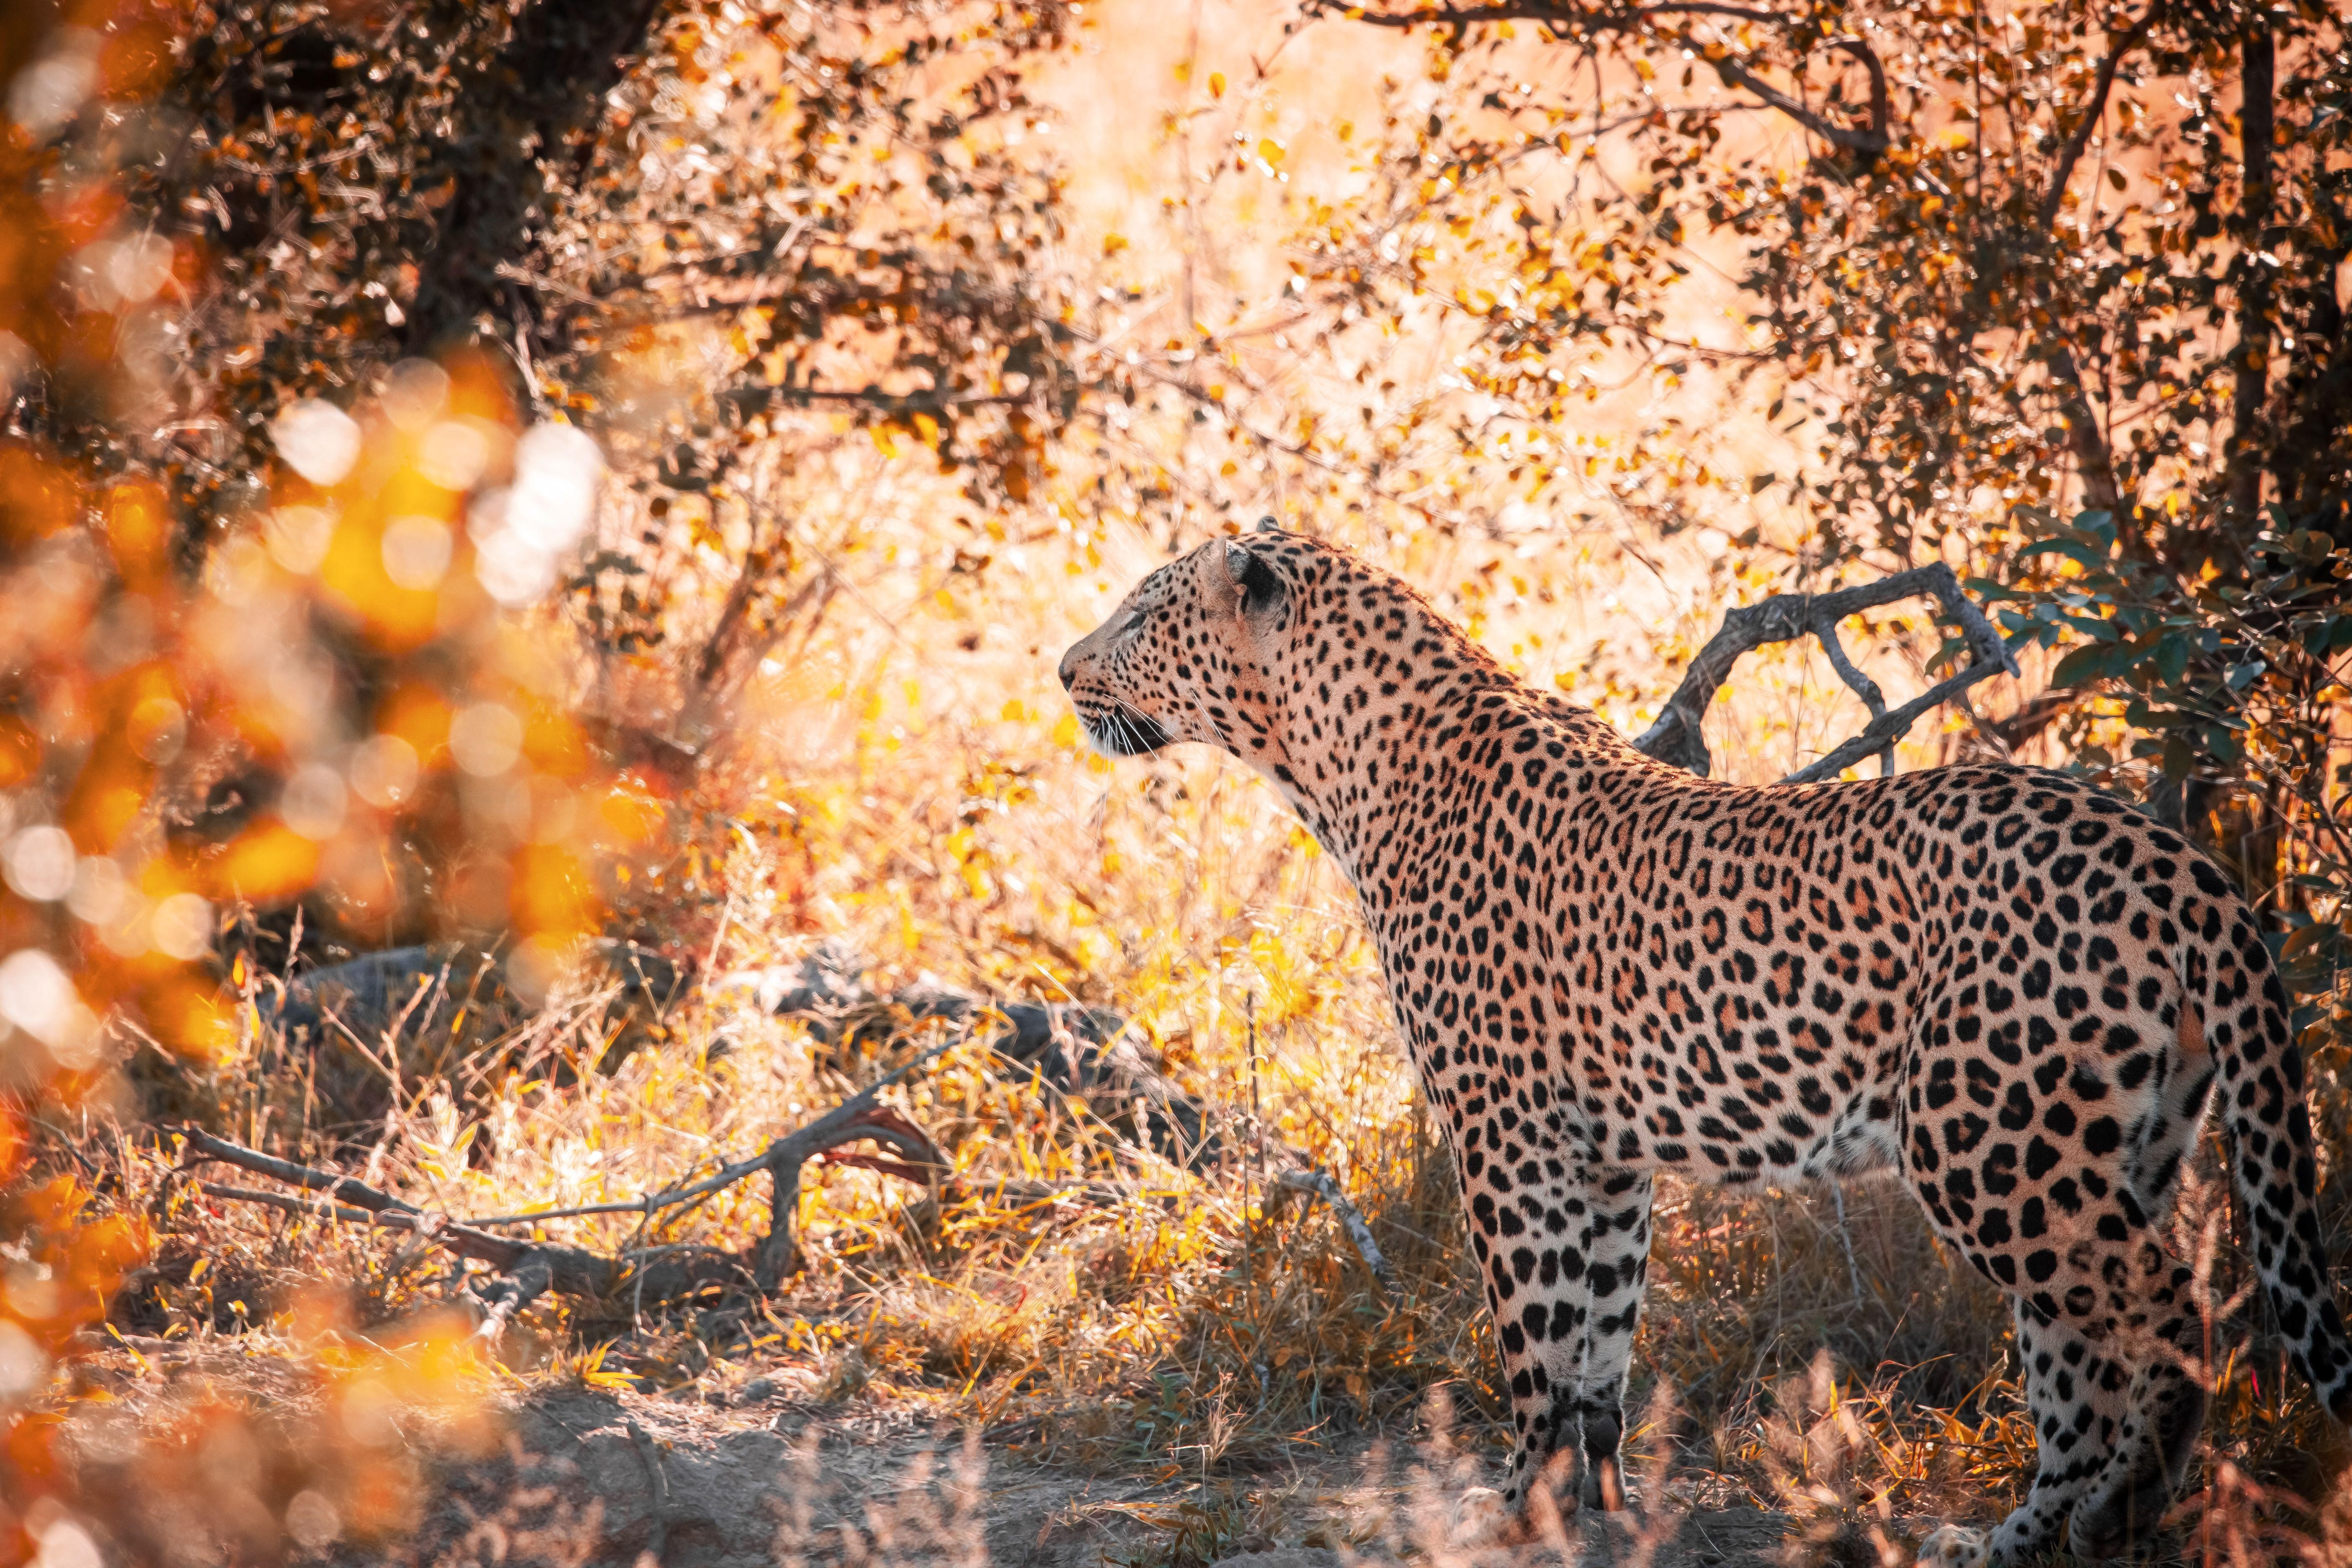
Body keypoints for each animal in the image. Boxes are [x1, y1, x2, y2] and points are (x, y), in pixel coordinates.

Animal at [1058, 523, 2352, 1565]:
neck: (1337, 765)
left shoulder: (1507, 1141)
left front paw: (1509, 1509)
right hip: (2109, 1145)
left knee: (2174, 1313)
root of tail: (2181, 862)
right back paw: (2010, 1538)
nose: (1065, 671)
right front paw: (1597, 1502)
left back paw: (2123, 1508)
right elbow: (1598, 1345)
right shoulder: (1604, 1158)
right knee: (2083, 1367)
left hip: (1990, 1146)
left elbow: (1534, 1339)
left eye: (1142, 613)